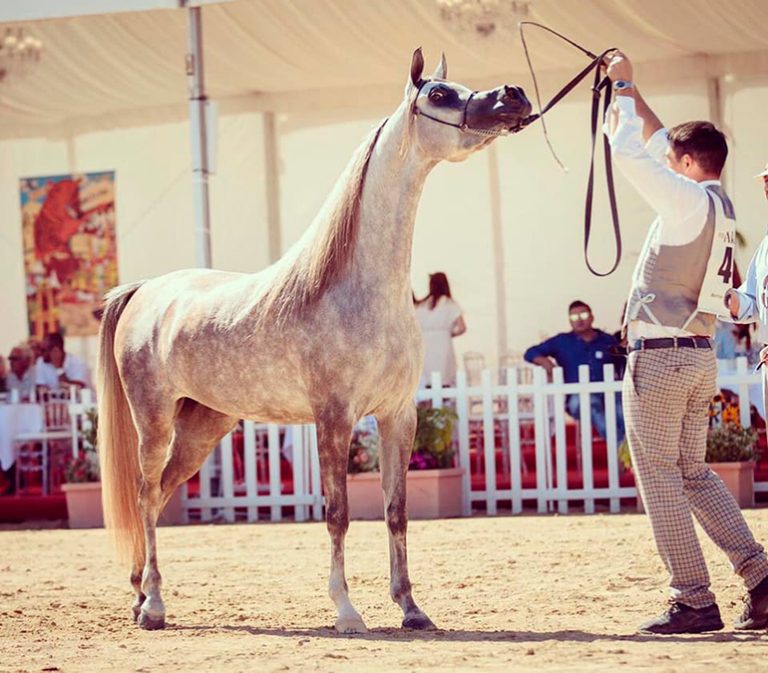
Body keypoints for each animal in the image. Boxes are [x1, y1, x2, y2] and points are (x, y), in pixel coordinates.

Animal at [97, 48, 531, 634]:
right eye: (439, 94)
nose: (514, 96)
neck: (357, 289)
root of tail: (145, 290)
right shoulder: (334, 418)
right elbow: (338, 513)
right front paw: (347, 611)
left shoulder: (398, 416)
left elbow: (396, 512)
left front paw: (411, 608)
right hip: (155, 421)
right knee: (144, 495)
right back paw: (155, 607)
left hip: (204, 426)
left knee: (160, 493)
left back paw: (140, 592)